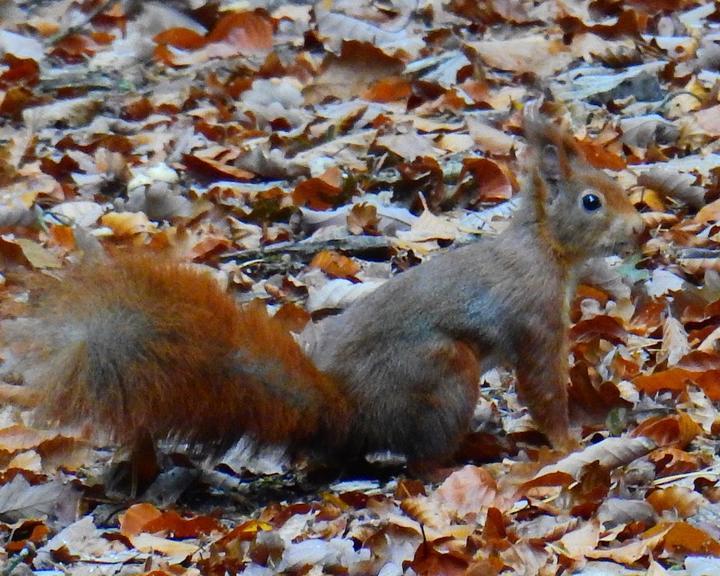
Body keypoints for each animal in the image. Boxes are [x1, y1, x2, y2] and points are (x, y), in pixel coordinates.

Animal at [0, 115, 640, 470]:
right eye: (592, 201)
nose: (641, 227)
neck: (545, 250)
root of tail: (343, 413)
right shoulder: (533, 318)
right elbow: (542, 385)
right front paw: (568, 441)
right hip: (442, 371)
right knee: (419, 460)